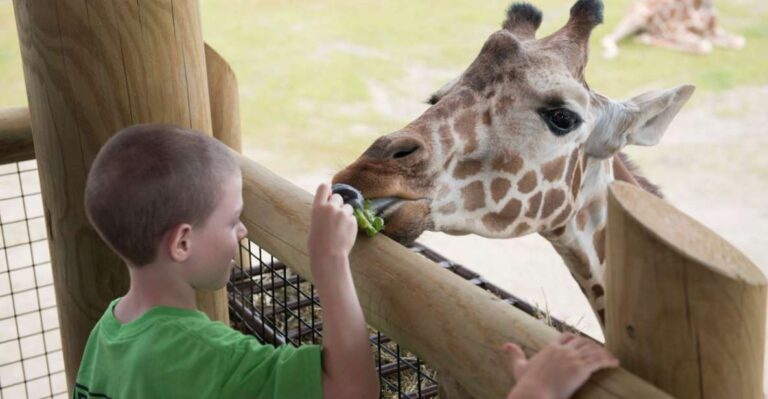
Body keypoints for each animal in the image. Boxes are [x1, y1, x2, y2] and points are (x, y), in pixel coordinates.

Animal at [600, 0, 744, 58]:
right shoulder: (672, 29)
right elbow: (704, 46)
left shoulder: (711, 31)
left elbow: (739, 41)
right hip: (641, 13)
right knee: (608, 38)